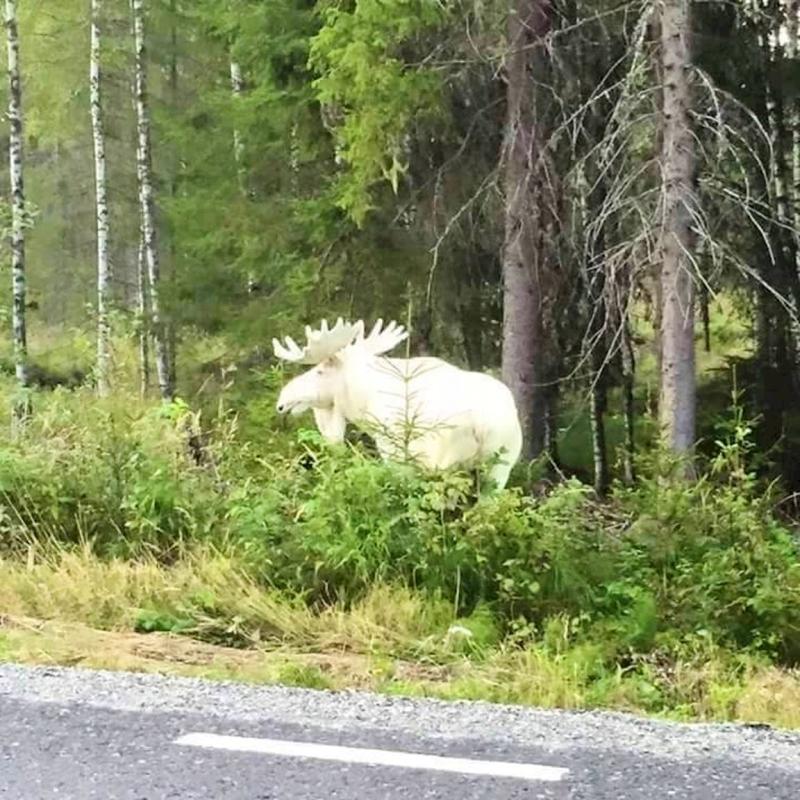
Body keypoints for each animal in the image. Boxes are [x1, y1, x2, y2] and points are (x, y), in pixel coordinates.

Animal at [274, 318, 524, 490]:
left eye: (319, 371)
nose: (282, 400)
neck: (361, 403)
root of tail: (483, 424)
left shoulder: (394, 453)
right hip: (501, 465)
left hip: (442, 460)